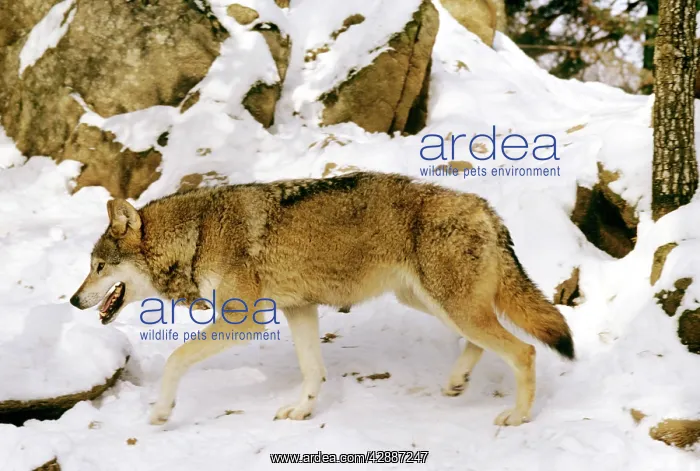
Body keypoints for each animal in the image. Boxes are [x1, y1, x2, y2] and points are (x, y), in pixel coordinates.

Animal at [70, 171, 574, 427]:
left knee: (524, 351)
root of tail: (485, 208)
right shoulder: (299, 308)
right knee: (485, 343)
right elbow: (313, 370)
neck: (196, 236)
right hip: (434, 304)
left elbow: (176, 358)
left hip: (453, 306)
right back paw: (456, 382)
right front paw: (302, 411)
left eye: (99, 267)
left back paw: (518, 416)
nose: (74, 300)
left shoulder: (243, 321)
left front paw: (160, 411)